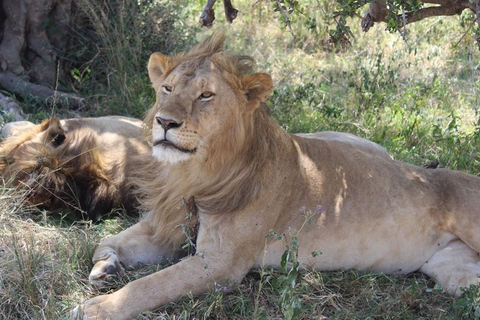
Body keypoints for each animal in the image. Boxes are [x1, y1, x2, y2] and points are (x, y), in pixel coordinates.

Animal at [75, 33, 480, 318]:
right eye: (167, 89)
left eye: (206, 96)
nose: (164, 121)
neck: (195, 176)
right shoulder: (167, 227)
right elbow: (108, 240)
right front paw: (107, 266)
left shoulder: (221, 263)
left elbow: (151, 285)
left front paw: (95, 309)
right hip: (455, 272)